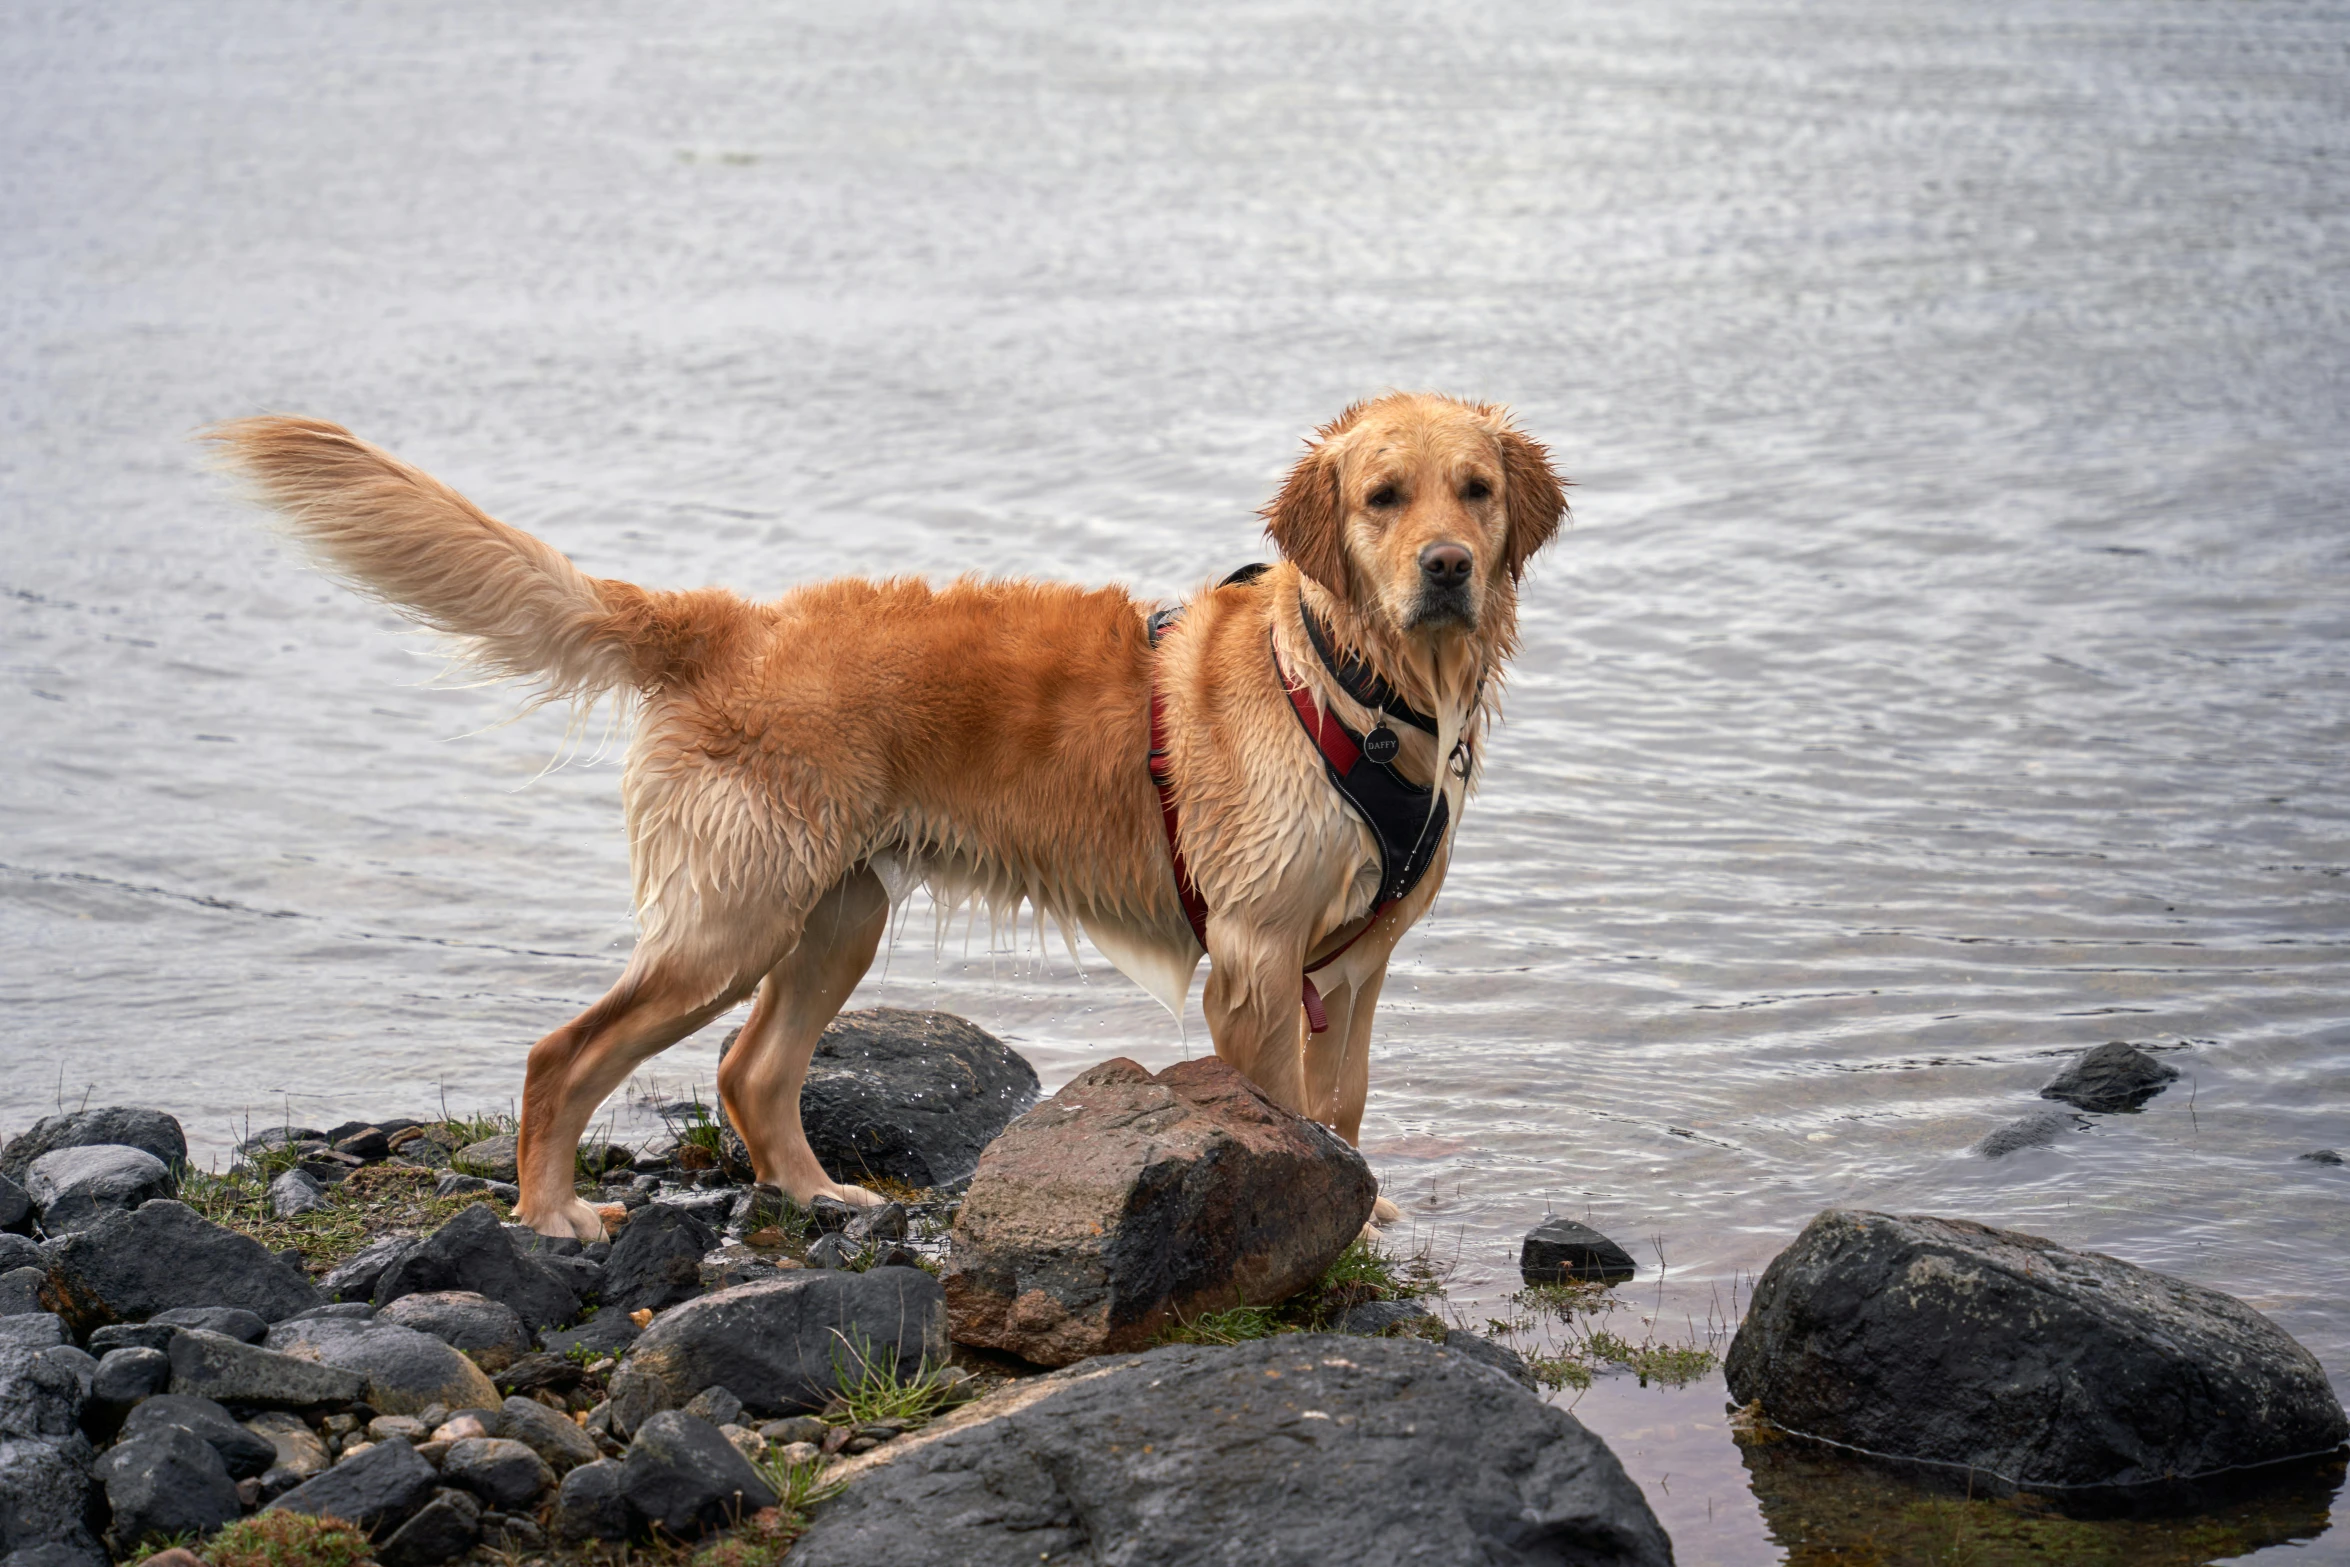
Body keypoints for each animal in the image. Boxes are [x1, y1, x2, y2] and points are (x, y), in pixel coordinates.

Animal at [211, 399, 1569, 1240]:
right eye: (1382, 497)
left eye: (1474, 491)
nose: (1447, 565)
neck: (1362, 684)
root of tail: (729, 624)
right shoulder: (1255, 956)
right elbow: (1286, 1112)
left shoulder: (1355, 966)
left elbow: (1342, 1111)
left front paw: (1366, 1210)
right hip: (732, 921)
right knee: (565, 1053)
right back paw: (550, 1213)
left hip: (834, 915)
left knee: (750, 1071)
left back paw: (821, 1197)